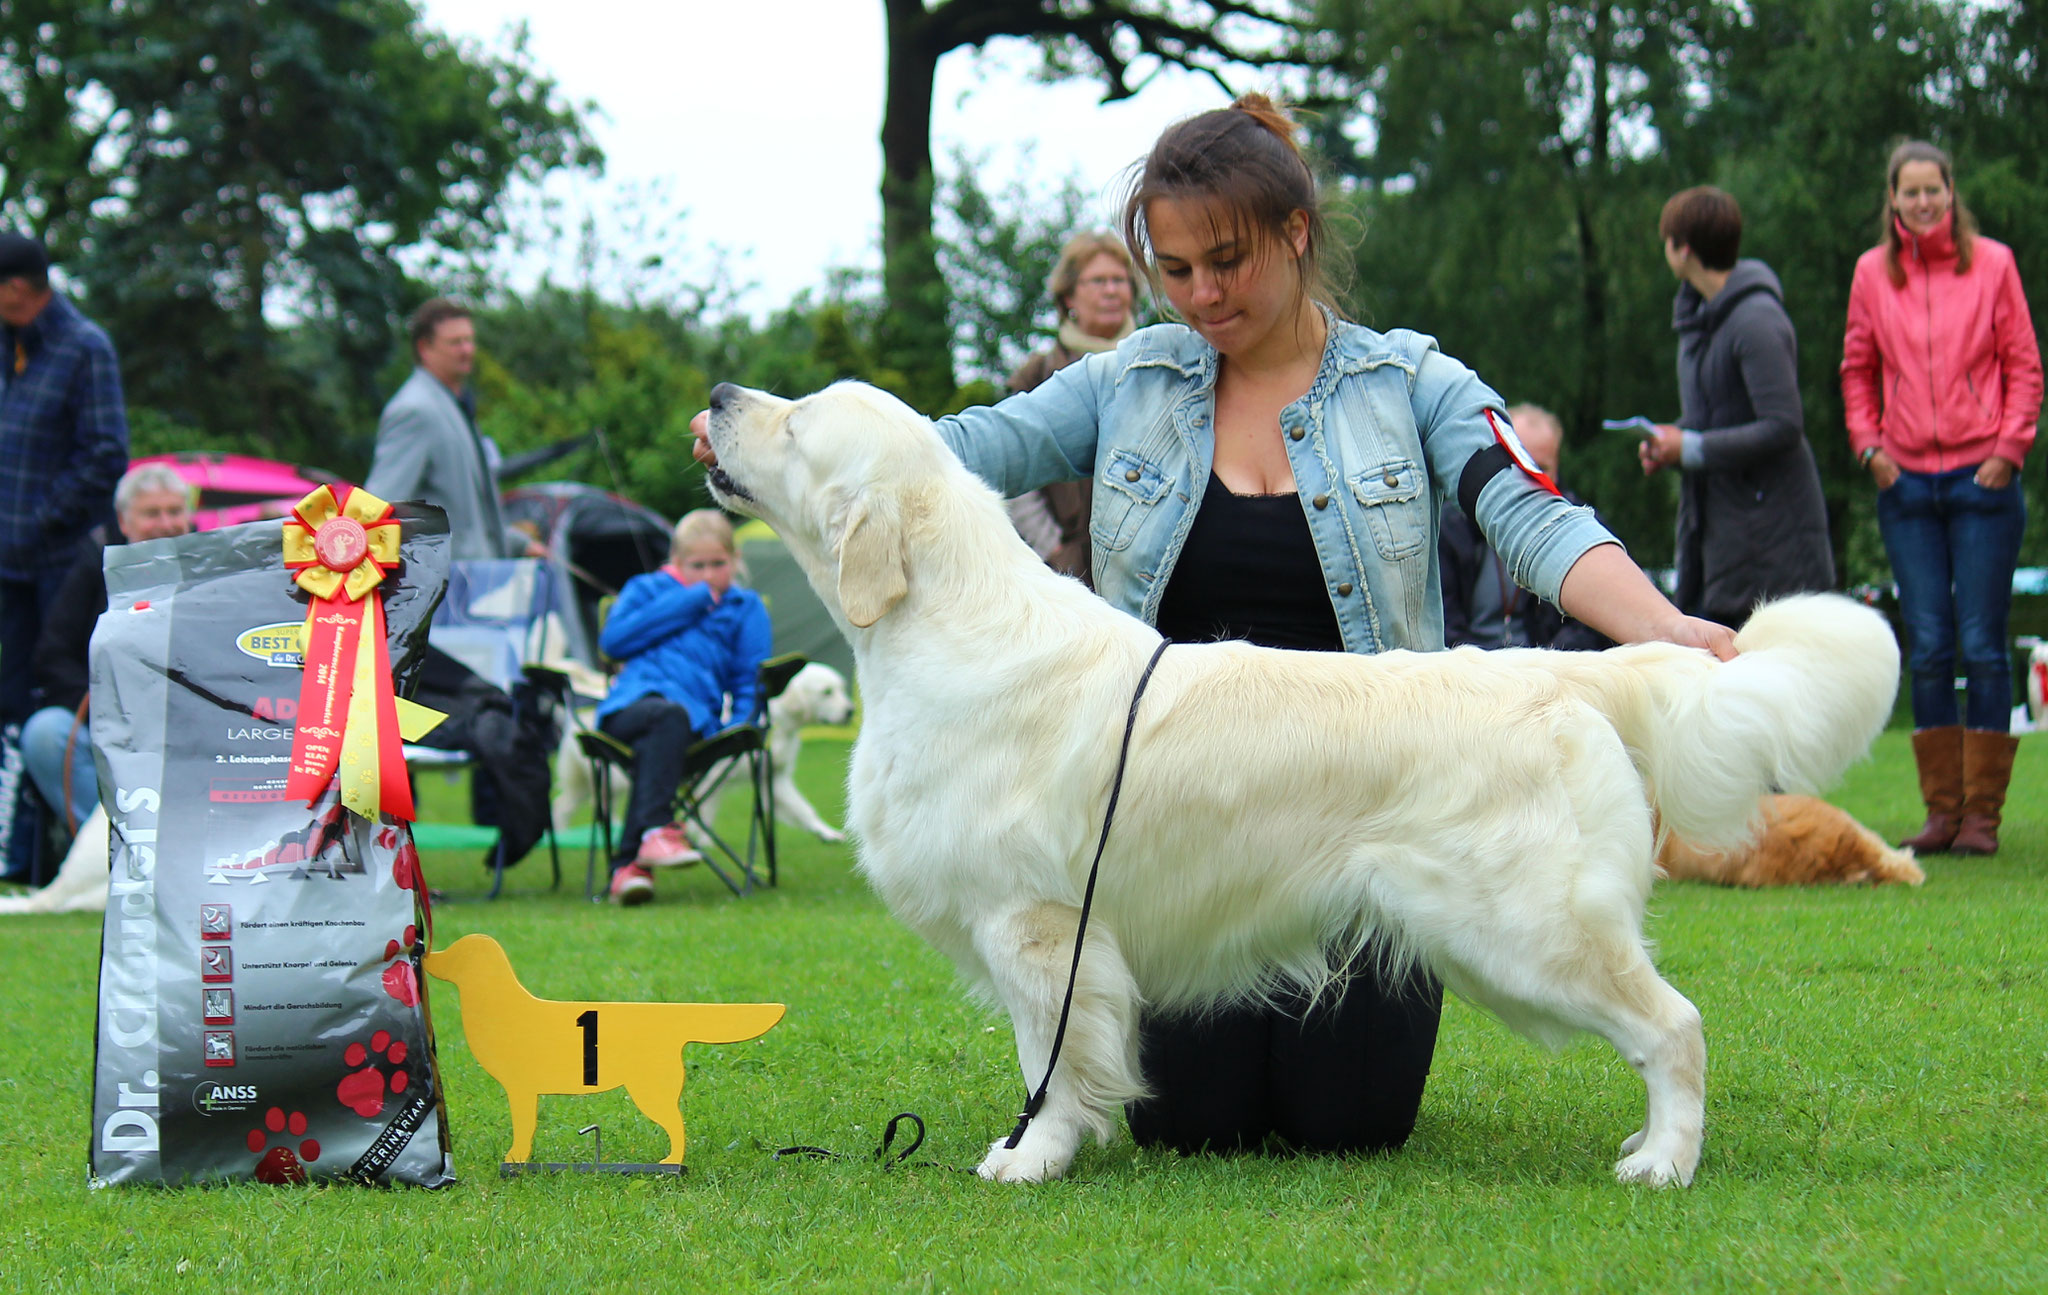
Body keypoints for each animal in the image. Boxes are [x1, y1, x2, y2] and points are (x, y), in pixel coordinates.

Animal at [548, 655, 851, 840]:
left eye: (841, 688)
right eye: (826, 692)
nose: (850, 711)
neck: (775, 717)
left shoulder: (774, 779)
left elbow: (804, 810)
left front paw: (827, 834)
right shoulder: (711, 776)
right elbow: (705, 813)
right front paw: (700, 840)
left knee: (566, 805)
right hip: (613, 777)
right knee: (580, 805)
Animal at [704, 379, 1900, 1188]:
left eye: (797, 424)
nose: (717, 396)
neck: (945, 624)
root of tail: (1560, 668)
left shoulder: (1036, 923)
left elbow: (1052, 1054)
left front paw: (1032, 1153)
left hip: (1529, 929)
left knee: (1674, 1024)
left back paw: (1665, 1159)